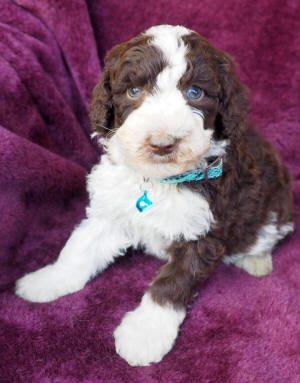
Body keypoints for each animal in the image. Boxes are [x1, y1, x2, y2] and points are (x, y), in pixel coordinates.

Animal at [14, 25, 296, 368]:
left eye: (195, 93)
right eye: (134, 91)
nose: (163, 144)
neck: (160, 180)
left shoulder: (204, 230)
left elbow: (171, 285)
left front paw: (144, 335)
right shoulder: (112, 210)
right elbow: (79, 249)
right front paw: (49, 279)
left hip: (276, 204)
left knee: (267, 232)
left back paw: (256, 260)